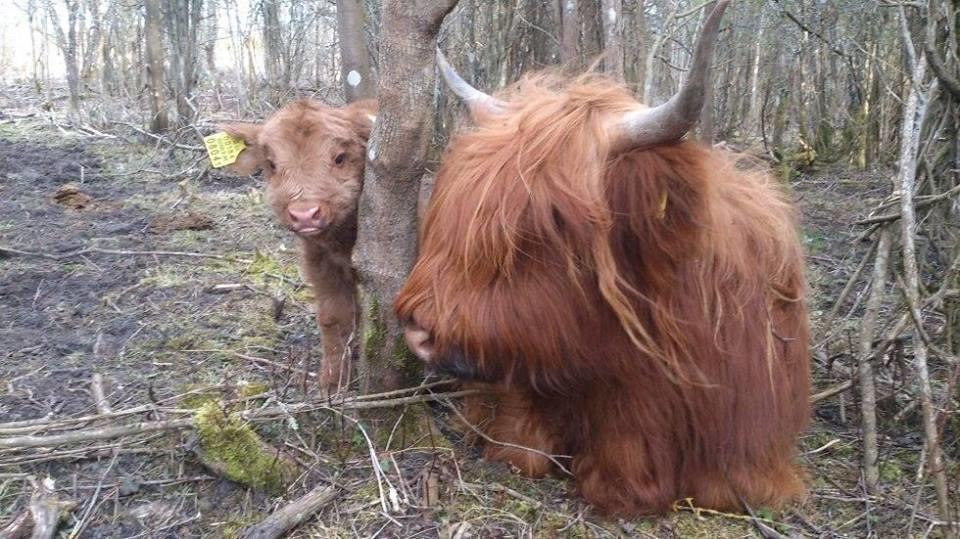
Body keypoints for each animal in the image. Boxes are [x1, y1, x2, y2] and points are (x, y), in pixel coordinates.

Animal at [223, 99, 376, 394]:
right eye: (271, 164)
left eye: (339, 158)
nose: (305, 214)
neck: (343, 242)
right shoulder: (320, 263)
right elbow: (334, 316)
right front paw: (333, 382)